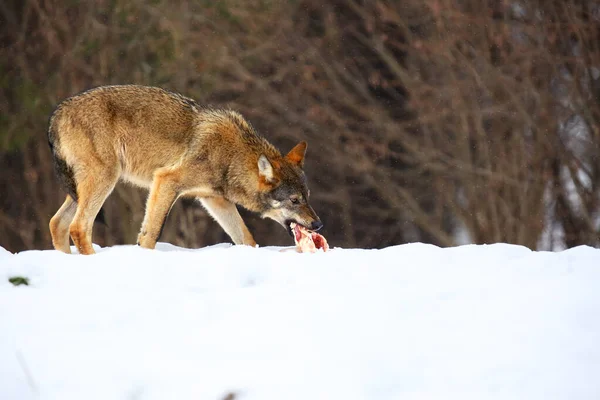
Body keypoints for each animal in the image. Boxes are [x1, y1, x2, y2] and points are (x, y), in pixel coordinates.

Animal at [48, 85, 322, 255]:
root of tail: (58, 111)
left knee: (57, 223)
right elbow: (151, 234)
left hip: (83, 188)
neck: (232, 156)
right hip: (105, 180)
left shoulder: (214, 200)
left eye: (307, 197)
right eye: (294, 200)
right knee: (78, 227)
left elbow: (247, 239)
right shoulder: (166, 180)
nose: (318, 224)